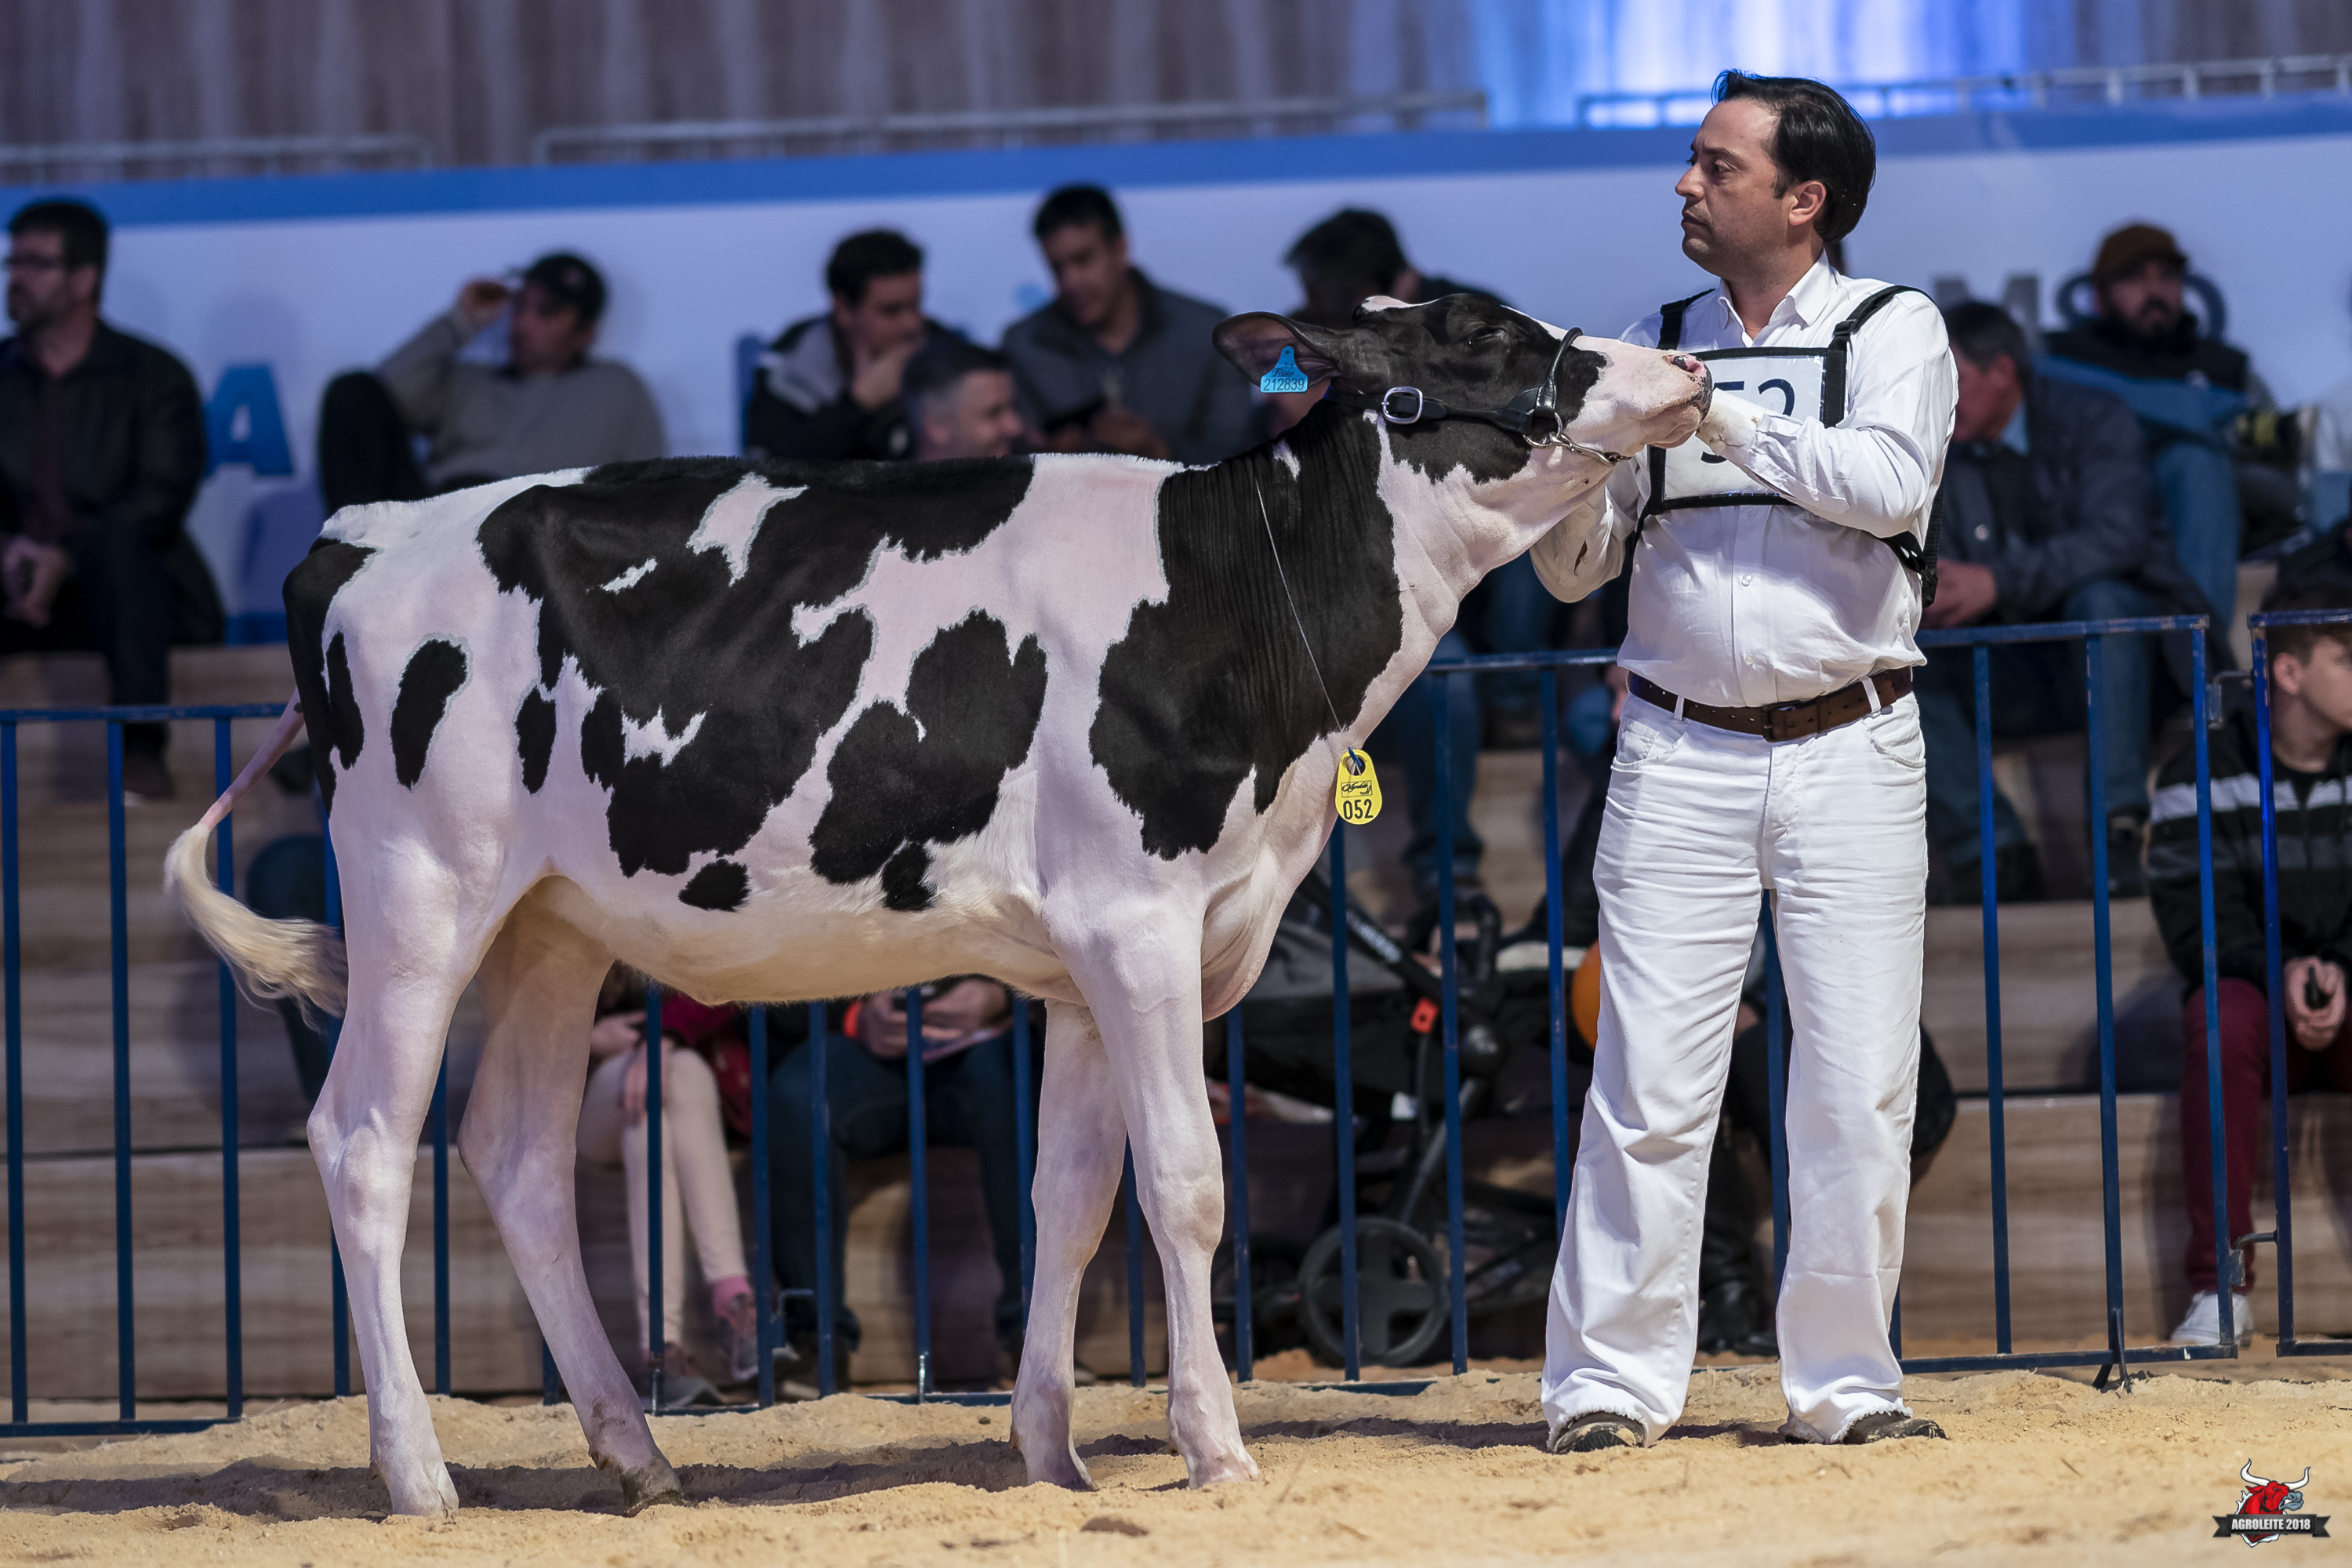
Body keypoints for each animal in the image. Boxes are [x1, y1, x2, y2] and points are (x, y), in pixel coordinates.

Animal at [165, 292, 1708, 1517]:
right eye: (1489, 337)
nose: (1687, 368)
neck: (1234, 612)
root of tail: (361, 533)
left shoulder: (1095, 964)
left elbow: (1071, 1200)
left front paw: (1053, 1456)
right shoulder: (1142, 926)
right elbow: (1186, 1186)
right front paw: (1215, 1449)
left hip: (550, 925)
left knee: (518, 1156)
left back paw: (638, 1455)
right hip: (421, 890)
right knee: (367, 1143)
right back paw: (418, 1475)